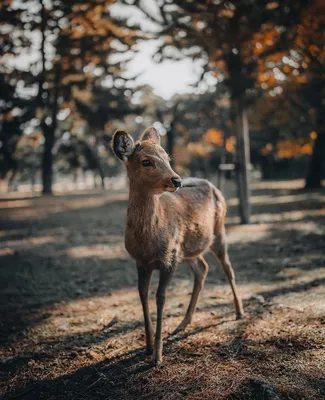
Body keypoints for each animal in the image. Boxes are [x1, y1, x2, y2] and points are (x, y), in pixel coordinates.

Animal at [111, 127, 243, 366]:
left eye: (167, 157)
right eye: (146, 161)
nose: (177, 180)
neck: (149, 240)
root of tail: (213, 186)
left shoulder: (169, 258)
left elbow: (160, 297)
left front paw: (157, 356)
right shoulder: (140, 261)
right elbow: (142, 293)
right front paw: (147, 346)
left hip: (219, 231)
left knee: (228, 268)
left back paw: (239, 312)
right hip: (188, 249)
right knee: (202, 268)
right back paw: (183, 324)